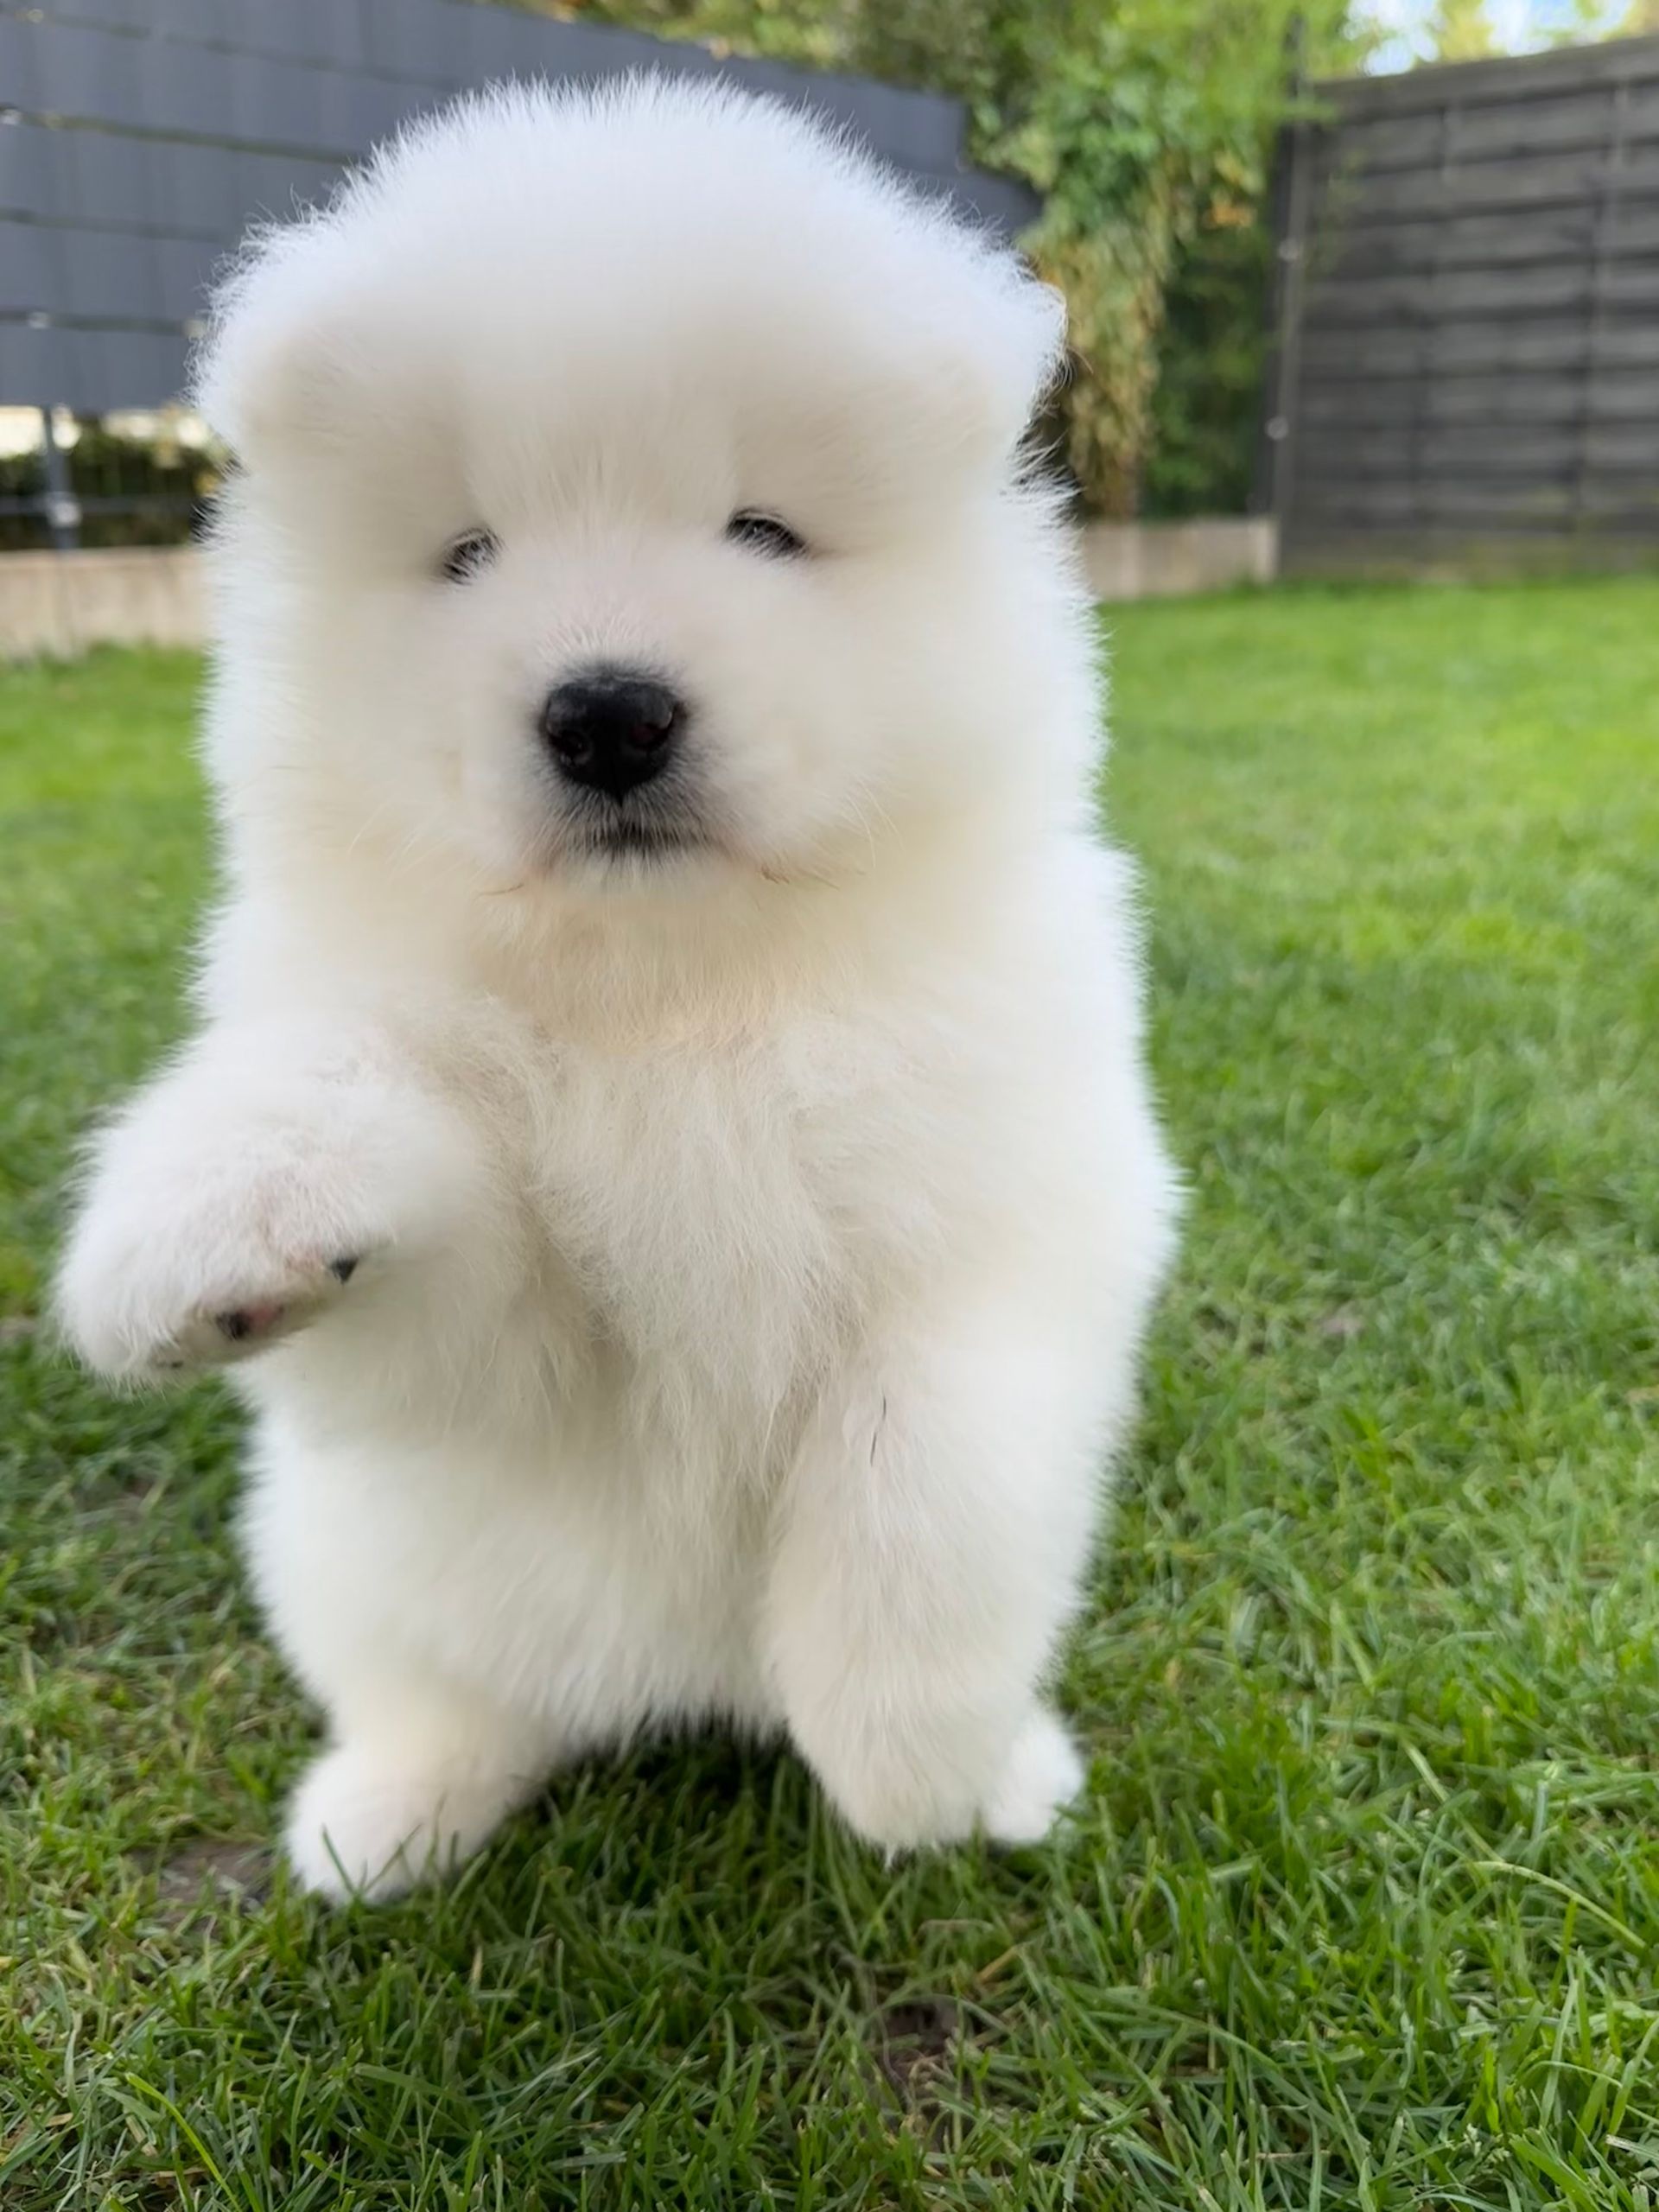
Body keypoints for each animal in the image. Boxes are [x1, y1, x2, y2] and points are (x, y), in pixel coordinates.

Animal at [57, 77, 1179, 1899]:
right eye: (467, 555)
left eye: (763, 530)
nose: (606, 712)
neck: (672, 1001)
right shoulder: (501, 1323)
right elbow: (378, 1156)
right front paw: (222, 1228)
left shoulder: (995, 1223)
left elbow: (915, 1487)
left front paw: (908, 1777)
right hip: (345, 1559)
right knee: (439, 1695)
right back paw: (385, 1820)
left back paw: (996, 1781)